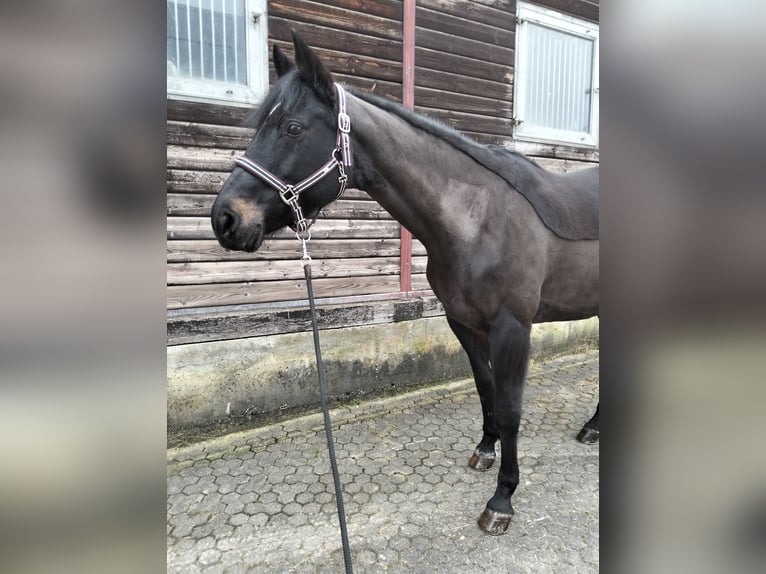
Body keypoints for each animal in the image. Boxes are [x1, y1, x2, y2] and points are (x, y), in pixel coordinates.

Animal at [211, 31, 599, 535]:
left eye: (293, 128)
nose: (225, 219)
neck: (479, 220)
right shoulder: (462, 322)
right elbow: (485, 388)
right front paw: (485, 451)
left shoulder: (513, 328)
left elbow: (511, 407)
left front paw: (503, 499)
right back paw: (594, 427)